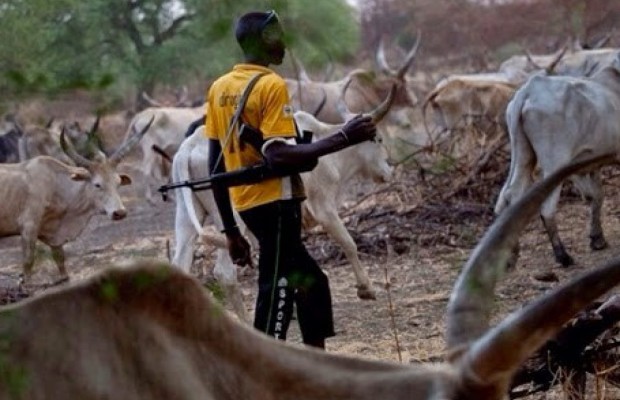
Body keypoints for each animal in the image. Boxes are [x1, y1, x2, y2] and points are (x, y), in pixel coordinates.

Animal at [0, 117, 154, 282]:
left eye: (118, 182)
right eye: (97, 184)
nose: (120, 212)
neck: (56, 185)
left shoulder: (54, 236)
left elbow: (60, 260)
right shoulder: (28, 227)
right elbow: (28, 264)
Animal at [494, 52, 620, 266]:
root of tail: (528, 91)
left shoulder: (591, 163)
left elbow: (597, 196)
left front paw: (597, 238)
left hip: (523, 155)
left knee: (511, 195)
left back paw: (511, 255)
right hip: (555, 163)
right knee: (546, 208)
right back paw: (562, 255)